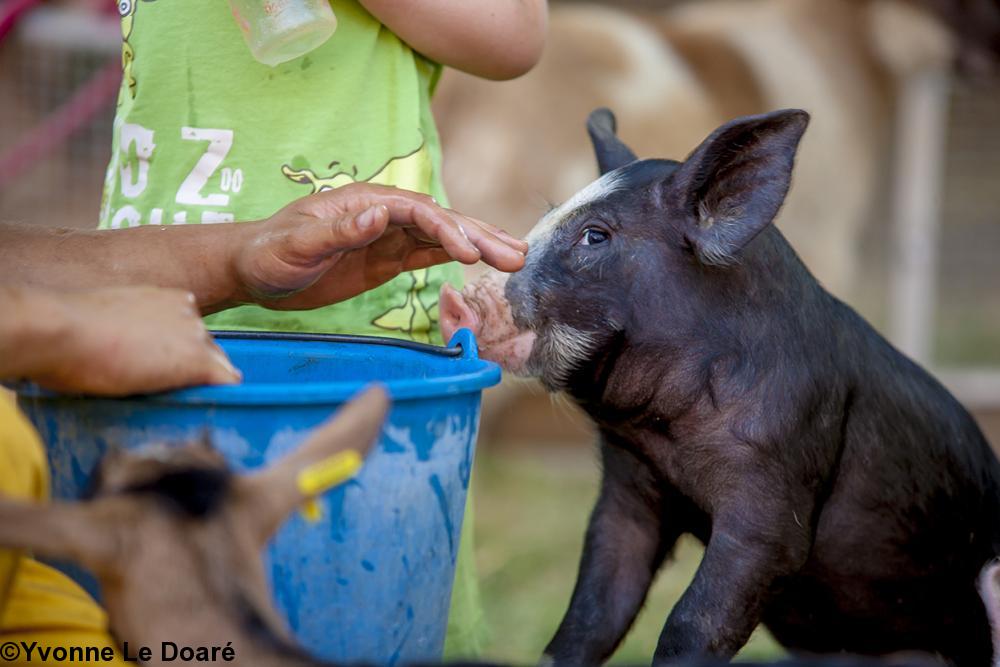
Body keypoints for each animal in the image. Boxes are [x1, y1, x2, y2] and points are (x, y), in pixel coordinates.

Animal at [439, 108, 1000, 666]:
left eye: (595, 236)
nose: (455, 296)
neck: (664, 433)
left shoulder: (775, 496)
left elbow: (696, 620)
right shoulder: (627, 490)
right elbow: (592, 611)